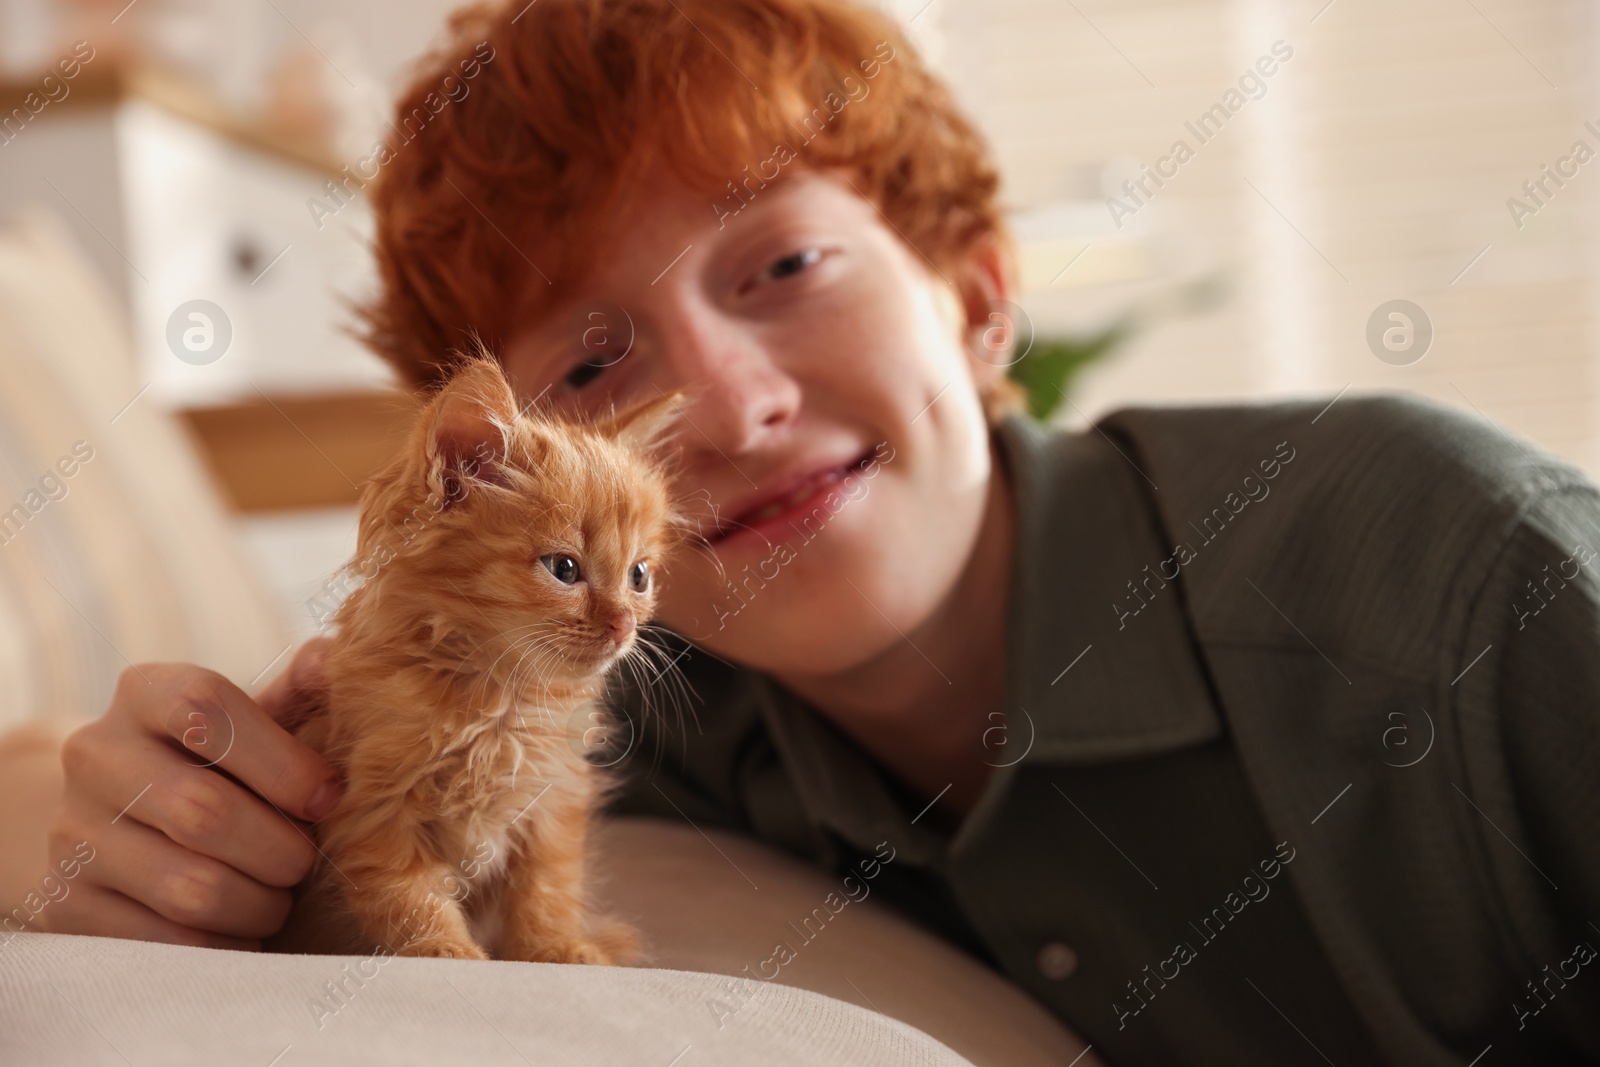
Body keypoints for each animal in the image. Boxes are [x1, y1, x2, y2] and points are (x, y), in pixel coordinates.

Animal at [264, 356, 688, 966]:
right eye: (564, 569)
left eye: (639, 576)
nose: (624, 626)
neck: (500, 703)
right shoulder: (374, 812)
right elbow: (409, 900)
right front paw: (449, 953)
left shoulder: (553, 804)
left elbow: (547, 890)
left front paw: (557, 949)